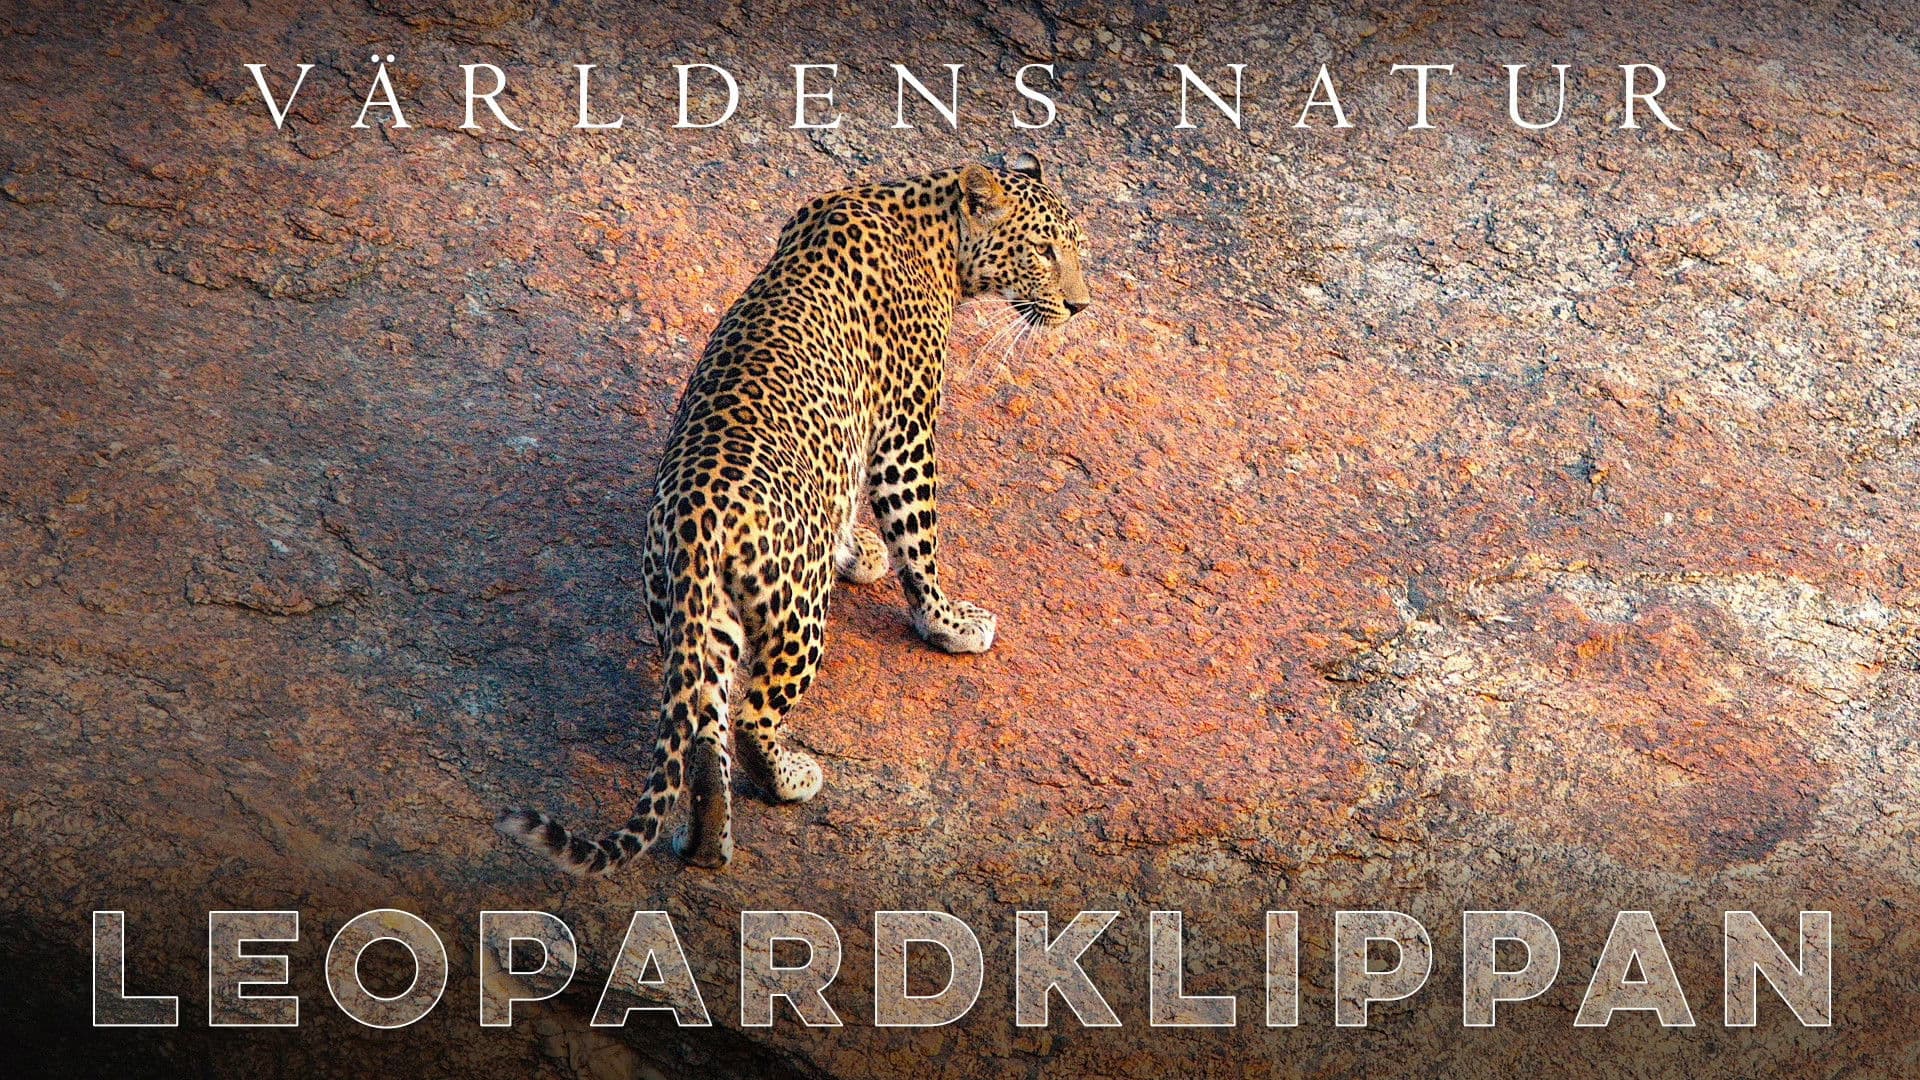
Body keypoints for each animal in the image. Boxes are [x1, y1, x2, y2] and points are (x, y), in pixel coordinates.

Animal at [498, 152, 1092, 872]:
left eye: (1079, 249)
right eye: (1045, 251)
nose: (1080, 306)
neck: (932, 223)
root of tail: (695, 521)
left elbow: (843, 493)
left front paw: (854, 548)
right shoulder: (904, 428)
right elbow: (918, 536)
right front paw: (947, 621)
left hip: (700, 620)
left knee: (706, 731)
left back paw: (709, 841)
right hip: (797, 614)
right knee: (753, 715)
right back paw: (789, 778)